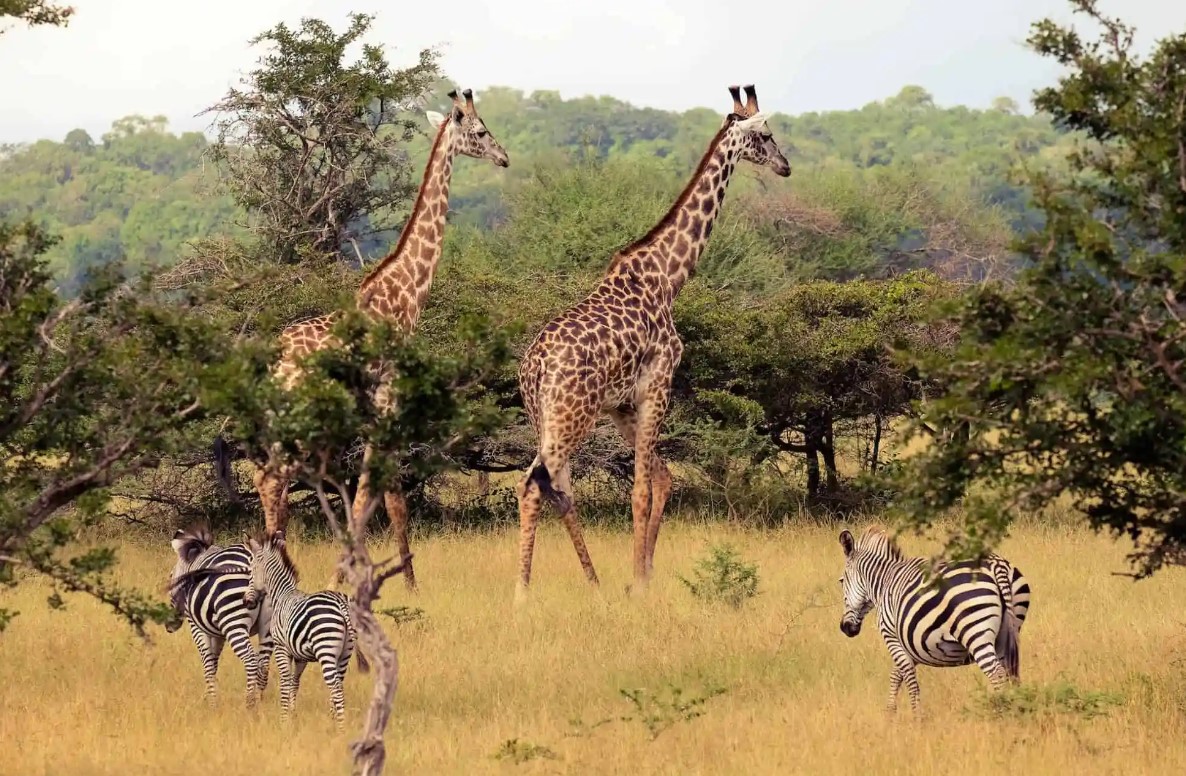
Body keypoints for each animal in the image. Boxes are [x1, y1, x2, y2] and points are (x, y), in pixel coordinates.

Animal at [167, 529, 272, 707]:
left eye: (171, 577)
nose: (169, 626)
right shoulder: (218, 633)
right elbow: (214, 662)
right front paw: (209, 696)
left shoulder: (197, 627)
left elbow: (208, 662)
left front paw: (211, 702)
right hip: (268, 625)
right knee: (263, 664)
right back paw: (261, 703)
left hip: (234, 623)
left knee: (251, 660)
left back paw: (249, 703)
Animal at [241, 531, 367, 726]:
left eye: (251, 572)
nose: (246, 601)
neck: (282, 595)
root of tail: (341, 603)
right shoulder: (300, 656)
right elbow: (295, 682)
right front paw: (292, 713)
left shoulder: (281, 648)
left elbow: (285, 681)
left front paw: (284, 718)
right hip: (346, 651)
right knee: (339, 683)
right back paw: (332, 720)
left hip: (326, 648)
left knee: (335, 687)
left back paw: (340, 725)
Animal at [247, 89, 507, 595]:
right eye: (481, 130)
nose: (505, 158)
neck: (405, 291)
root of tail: (273, 364)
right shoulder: (389, 399)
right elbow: (381, 495)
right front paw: (356, 578)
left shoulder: (375, 411)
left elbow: (380, 496)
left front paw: (399, 578)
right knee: (271, 480)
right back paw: (282, 575)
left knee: (268, 480)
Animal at [512, 83, 782, 602]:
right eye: (765, 135)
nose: (785, 166)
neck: (668, 277)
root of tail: (533, 369)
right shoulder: (657, 382)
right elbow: (640, 488)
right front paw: (638, 581)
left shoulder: (621, 404)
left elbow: (661, 475)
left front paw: (645, 570)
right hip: (571, 416)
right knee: (537, 484)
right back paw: (524, 590)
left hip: (545, 419)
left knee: (554, 487)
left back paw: (588, 581)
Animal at [834, 526, 1029, 716]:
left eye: (841, 581)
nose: (845, 628)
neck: (884, 582)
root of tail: (997, 565)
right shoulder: (912, 644)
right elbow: (896, 675)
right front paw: (890, 712)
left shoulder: (892, 637)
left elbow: (909, 678)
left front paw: (916, 716)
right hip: (1007, 633)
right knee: (1009, 672)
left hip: (975, 631)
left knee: (996, 673)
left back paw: (1000, 712)